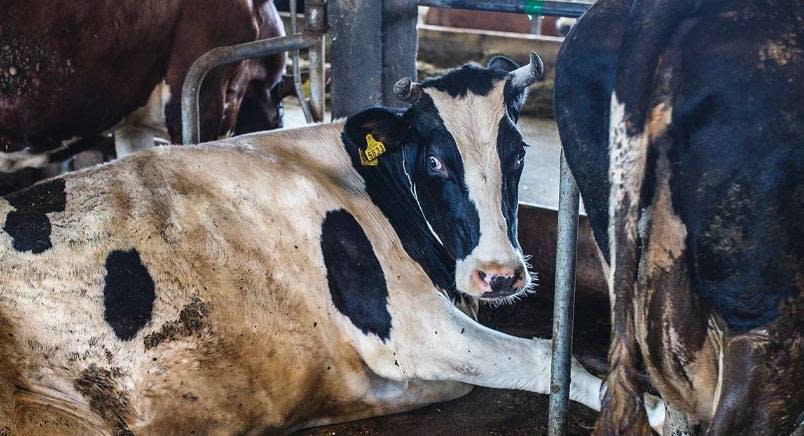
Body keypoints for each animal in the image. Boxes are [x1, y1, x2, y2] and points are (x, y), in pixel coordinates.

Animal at [0, 54, 666, 434]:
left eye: (519, 152)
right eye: (434, 160)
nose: (499, 275)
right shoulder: (414, 330)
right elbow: (543, 356)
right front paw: (655, 412)